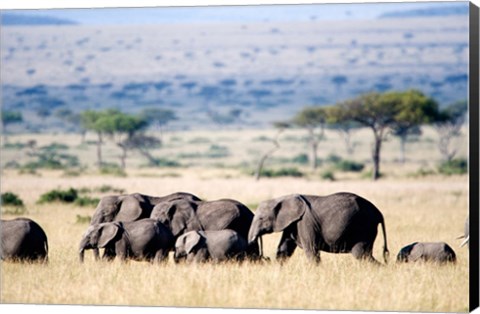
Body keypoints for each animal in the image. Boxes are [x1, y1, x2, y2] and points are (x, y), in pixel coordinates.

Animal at [248, 193, 390, 264]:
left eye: (261, 218)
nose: (264, 257)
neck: (282, 198)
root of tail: (379, 213)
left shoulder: (305, 222)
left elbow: (311, 250)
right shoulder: (293, 224)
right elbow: (284, 249)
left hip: (364, 227)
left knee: (361, 254)